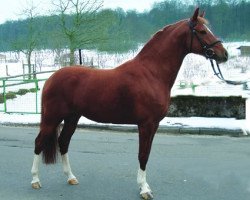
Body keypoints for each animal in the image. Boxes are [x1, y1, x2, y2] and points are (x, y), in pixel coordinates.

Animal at [30, 7, 227, 198]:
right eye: (202, 31)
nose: (224, 54)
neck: (151, 73)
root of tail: (51, 78)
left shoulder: (154, 125)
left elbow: (146, 154)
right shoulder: (146, 124)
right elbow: (143, 155)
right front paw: (144, 189)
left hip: (72, 117)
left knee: (63, 142)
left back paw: (71, 177)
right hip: (52, 117)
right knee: (39, 142)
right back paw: (35, 180)